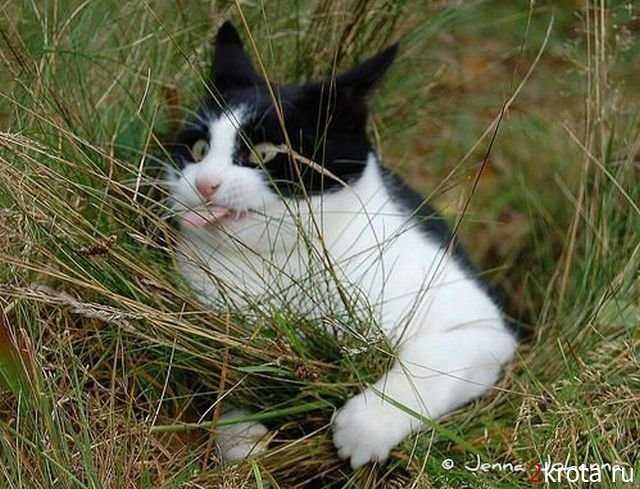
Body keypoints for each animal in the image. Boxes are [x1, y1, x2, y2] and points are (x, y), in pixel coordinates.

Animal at [165, 21, 518, 470]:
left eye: (265, 154)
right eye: (197, 150)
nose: (204, 183)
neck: (282, 263)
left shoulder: (482, 327)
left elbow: (431, 361)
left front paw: (366, 427)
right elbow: (220, 375)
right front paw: (240, 435)